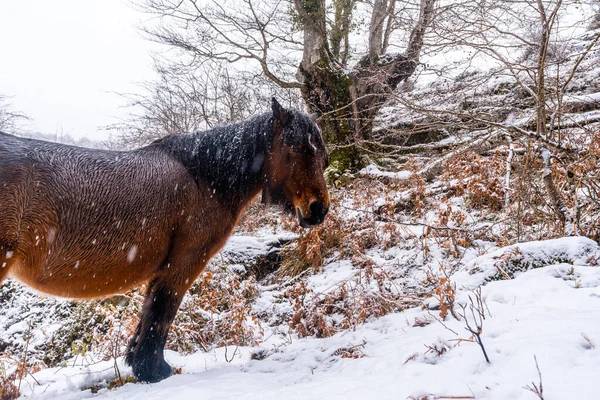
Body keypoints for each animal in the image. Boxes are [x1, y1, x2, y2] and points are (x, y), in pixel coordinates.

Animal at [0, 98, 330, 382]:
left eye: (321, 155)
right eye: (294, 149)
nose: (319, 209)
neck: (203, 178)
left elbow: (149, 312)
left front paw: (141, 366)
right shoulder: (183, 263)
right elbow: (163, 311)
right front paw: (155, 370)